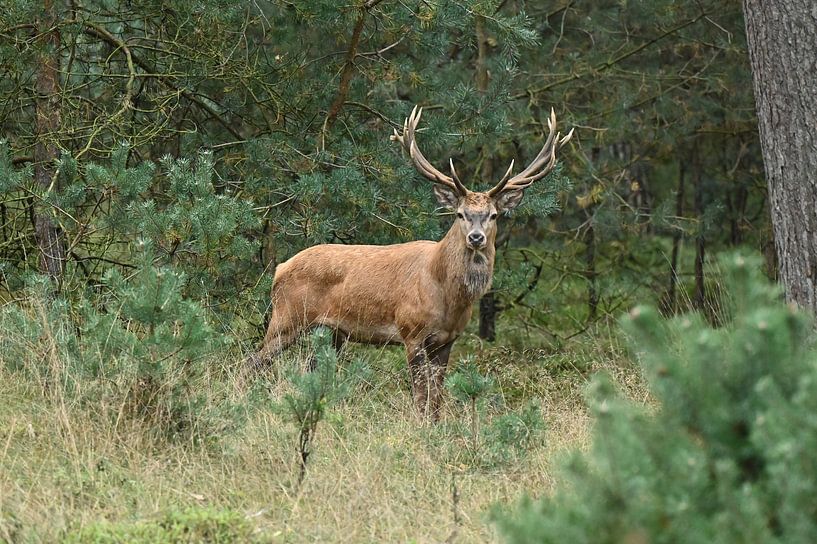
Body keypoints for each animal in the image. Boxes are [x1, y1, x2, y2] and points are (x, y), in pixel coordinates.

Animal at [250, 106, 573, 419]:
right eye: (460, 213)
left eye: (493, 215)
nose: (476, 237)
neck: (446, 295)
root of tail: (279, 269)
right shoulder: (411, 332)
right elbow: (420, 396)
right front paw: (420, 427)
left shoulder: (447, 340)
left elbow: (437, 398)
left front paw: (436, 427)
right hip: (286, 317)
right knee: (254, 360)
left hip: (330, 332)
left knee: (311, 371)